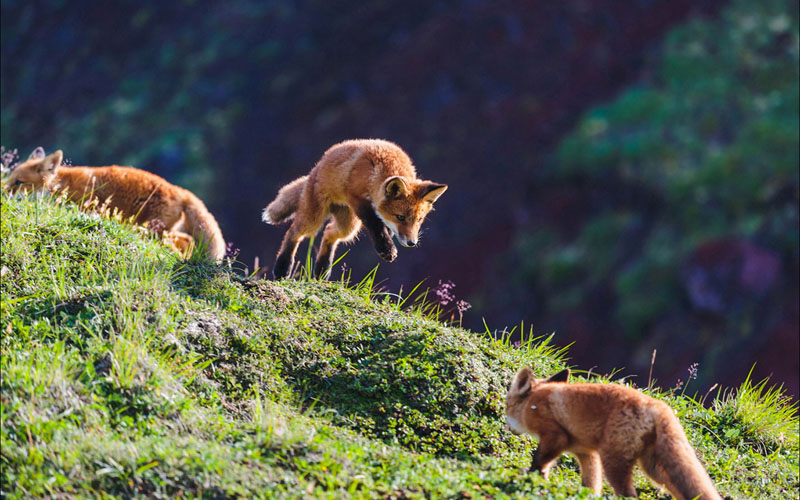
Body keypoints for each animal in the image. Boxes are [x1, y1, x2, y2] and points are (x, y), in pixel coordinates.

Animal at [5, 149, 225, 262]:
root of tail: (181, 190)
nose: (3, 194)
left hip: (151, 231)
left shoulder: (87, 206)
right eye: (10, 180)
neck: (61, 184)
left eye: (18, 183)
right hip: (157, 231)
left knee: (178, 246)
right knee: (187, 240)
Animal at [264, 139, 446, 280]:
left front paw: (388, 236)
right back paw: (282, 267)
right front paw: (386, 248)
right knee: (294, 232)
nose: (411, 243)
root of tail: (315, 169)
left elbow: (382, 224)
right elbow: (375, 224)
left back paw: (322, 269)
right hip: (314, 219)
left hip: (348, 226)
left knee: (329, 232)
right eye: (400, 217)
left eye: (419, 220)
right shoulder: (357, 198)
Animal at [506, 366, 724, 498]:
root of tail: (658, 407)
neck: (531, 402)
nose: (508, 427)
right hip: (654, 468)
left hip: (614, 462)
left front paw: (531, 477)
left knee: (629, 494)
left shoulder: (555, 436)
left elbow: (539, 460)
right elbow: (591, 484)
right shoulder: (586, 453)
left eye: (507, 405)